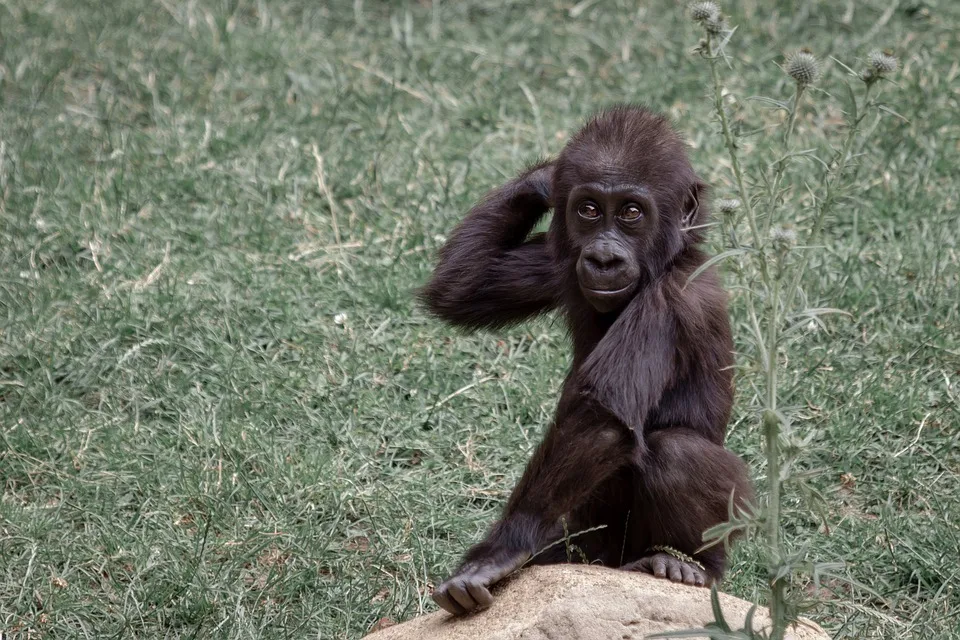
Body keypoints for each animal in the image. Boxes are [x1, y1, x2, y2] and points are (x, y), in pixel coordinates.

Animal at [424, 105, 752, 616]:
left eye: (632, 213)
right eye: (590, 210)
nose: (602, 258)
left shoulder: (674, 299)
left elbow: (602, 417)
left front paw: (503, 549)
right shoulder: (559, 257)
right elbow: (460, 288)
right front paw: (542, 179)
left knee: (677, 452)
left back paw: (685, 564)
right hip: (586, 550)